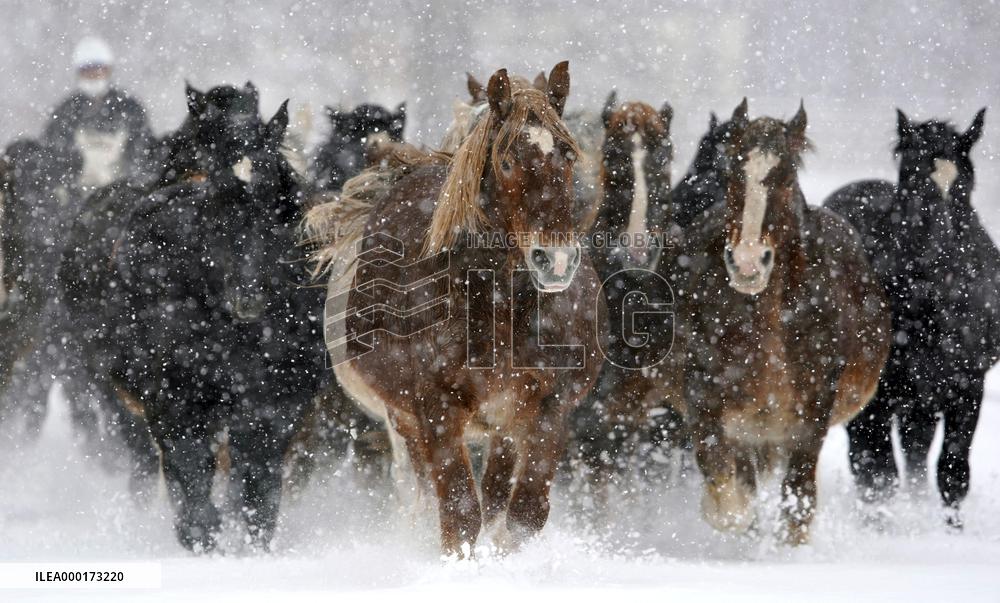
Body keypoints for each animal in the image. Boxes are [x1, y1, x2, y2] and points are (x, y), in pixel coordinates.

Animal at [59, 83, 327, 552]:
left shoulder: (272, 403)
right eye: (219, 203)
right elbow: (190, 472)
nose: (247, 300)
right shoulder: (175, 401)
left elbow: (257, 484)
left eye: (271, 200)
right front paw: (200, 536)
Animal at [310, 62, 606, 556]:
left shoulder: (549, 406)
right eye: (506, 161)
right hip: (403, 420)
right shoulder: (436, 407)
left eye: (567, 156)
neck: (501, 311)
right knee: (423, 493)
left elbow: (523, 513)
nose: (557, 259)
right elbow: (460, 514)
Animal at [672, 99, 890, 544]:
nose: (747, 263)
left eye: (786, 176)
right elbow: (726, 493)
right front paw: (731, 518)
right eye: (733, 174)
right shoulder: (707, 401)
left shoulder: (812, 415)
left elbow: (798, 499)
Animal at [824, 108, 999, 527]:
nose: (944, 262)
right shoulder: (875, 398)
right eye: (914, 184)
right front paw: (881, 526)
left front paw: (951, 530)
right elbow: (878, 473)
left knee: (917, 453)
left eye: (965, 188)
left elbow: (953, 471)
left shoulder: (967, 387)